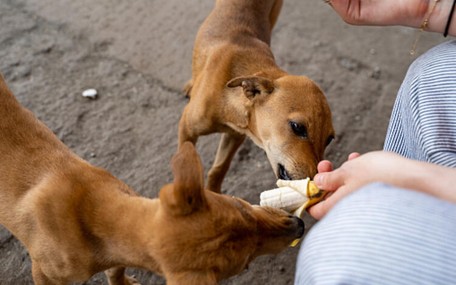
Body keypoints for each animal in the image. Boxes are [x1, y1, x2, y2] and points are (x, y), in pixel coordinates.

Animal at [0, 74, 306, 284]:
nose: (300, 225)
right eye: (245, 263)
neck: (94, 213)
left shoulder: (115, 254)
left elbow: (116, 271)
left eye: (242, 206)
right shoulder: (44, 273)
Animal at [178, 0, 334, 193]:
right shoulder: (186, 128)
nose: (319, 188)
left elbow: (219, 168)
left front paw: (214, 193)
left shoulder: (235, 136)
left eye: (330, 139)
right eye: (298, 127)